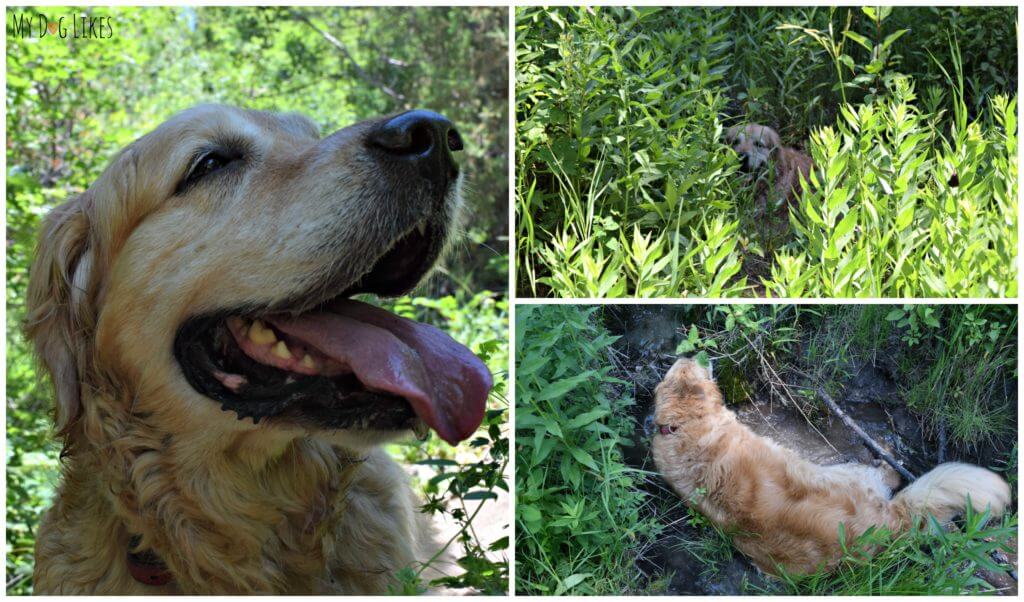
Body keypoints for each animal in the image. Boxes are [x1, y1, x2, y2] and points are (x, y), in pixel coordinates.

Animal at [651, 358, 1011, 573]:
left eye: (680, 367)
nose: (694, 355)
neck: (684, 426)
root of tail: (890, 522)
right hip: (851, 472)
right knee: (889, 474)